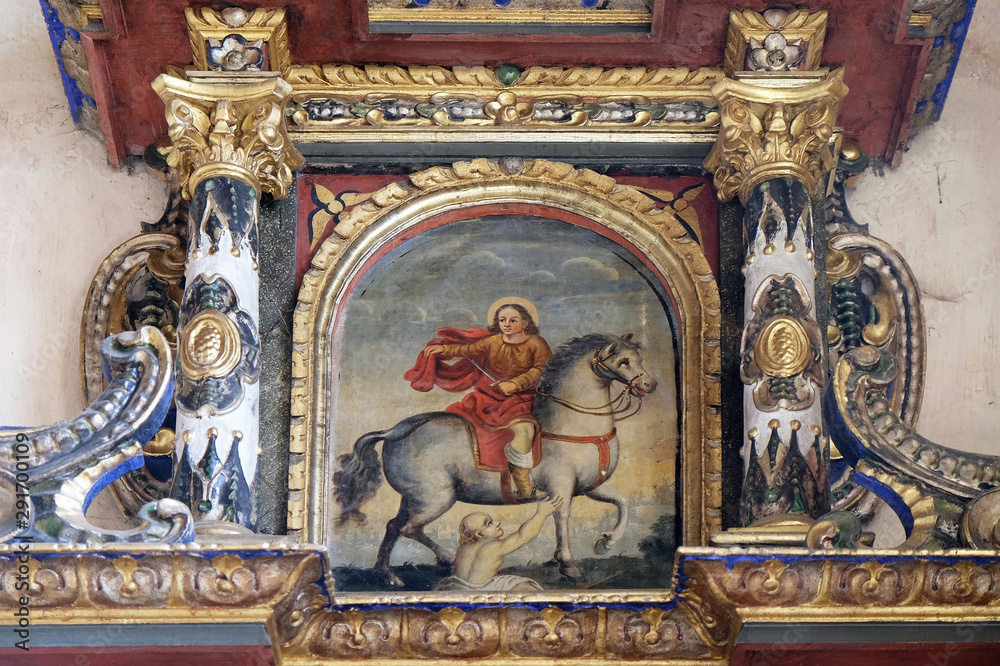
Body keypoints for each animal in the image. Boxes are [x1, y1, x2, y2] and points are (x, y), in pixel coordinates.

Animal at [332, 332, 652, 580]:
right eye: (623, 361)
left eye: (638, 359)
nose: (649, 385)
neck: (571, 423)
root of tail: (396, 431)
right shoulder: (561, 488)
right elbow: (562, 520)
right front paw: (568, 564)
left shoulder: (590, 487)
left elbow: (622, 503)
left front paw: (605, 543)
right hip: (435, 498)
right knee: (410, 528)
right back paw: (445, 558)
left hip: (412, 498)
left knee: (393, 526)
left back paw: (386, 574)